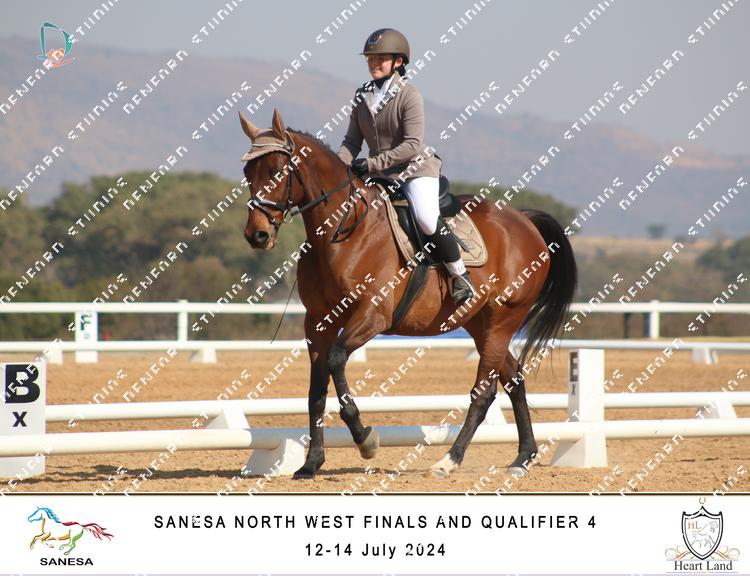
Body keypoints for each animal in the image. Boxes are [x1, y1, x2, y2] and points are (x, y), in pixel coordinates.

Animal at [239, 108, 576, 479]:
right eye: (247, 173)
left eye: (277, 171)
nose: (256, 235)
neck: (341, 233)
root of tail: (525, 221)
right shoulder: (317, 323)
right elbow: (316, 390)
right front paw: (311, 463)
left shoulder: (372, 315)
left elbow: (336, 360)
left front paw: (365, 439)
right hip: (479, 324)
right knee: (513, 377)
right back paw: (523, 457)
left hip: (503, 319)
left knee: (484, 392)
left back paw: (449, 460)